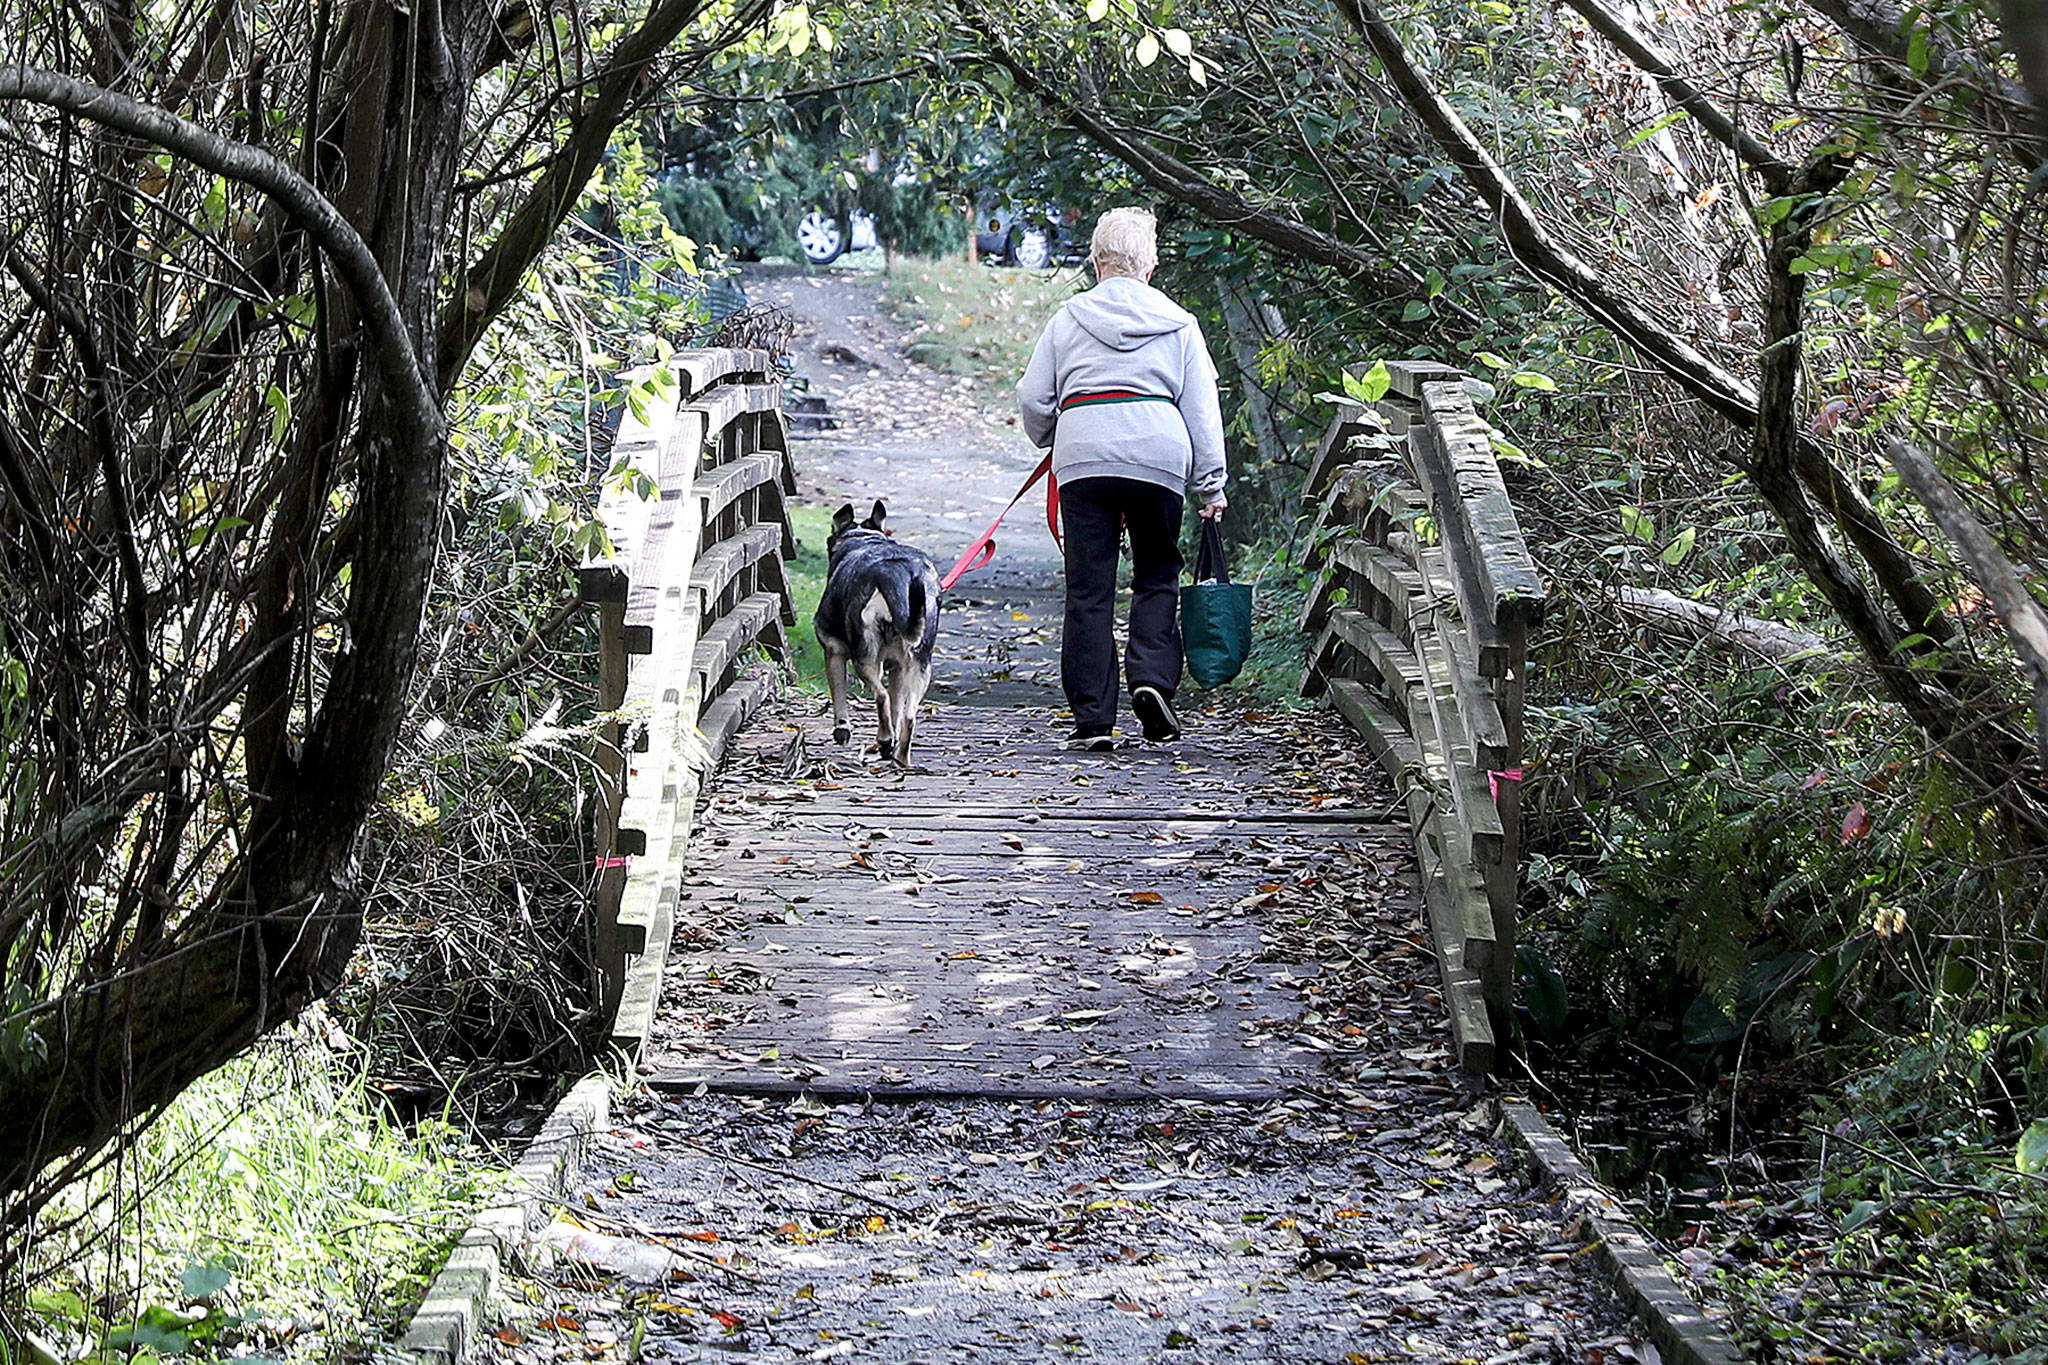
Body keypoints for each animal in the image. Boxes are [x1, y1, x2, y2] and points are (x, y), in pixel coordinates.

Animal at [815, 501, 942, 769]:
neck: (863, 538)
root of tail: (901, 575)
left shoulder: (833, 651)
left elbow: (839, 694)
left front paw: (842, 729)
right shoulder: (897, 668)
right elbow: (896, 707)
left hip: (864, 657)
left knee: (880, 696)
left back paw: (884, 741)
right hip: (919, 664)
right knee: (908, 715)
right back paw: (899, 756)